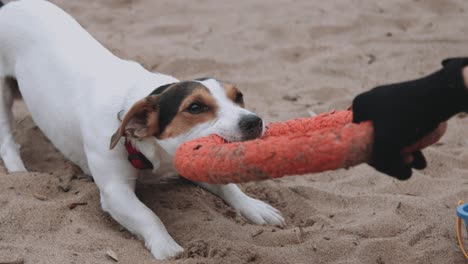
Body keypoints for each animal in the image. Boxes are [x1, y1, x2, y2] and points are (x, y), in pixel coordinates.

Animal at [0, 0, 284, 260]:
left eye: (239, 97)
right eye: (195, 107)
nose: (254, 121)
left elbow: (228, 187)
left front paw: (253, 206)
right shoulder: (115, 191)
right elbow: (148, 215)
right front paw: (167, 247)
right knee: (6, 140)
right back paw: (19, 170)